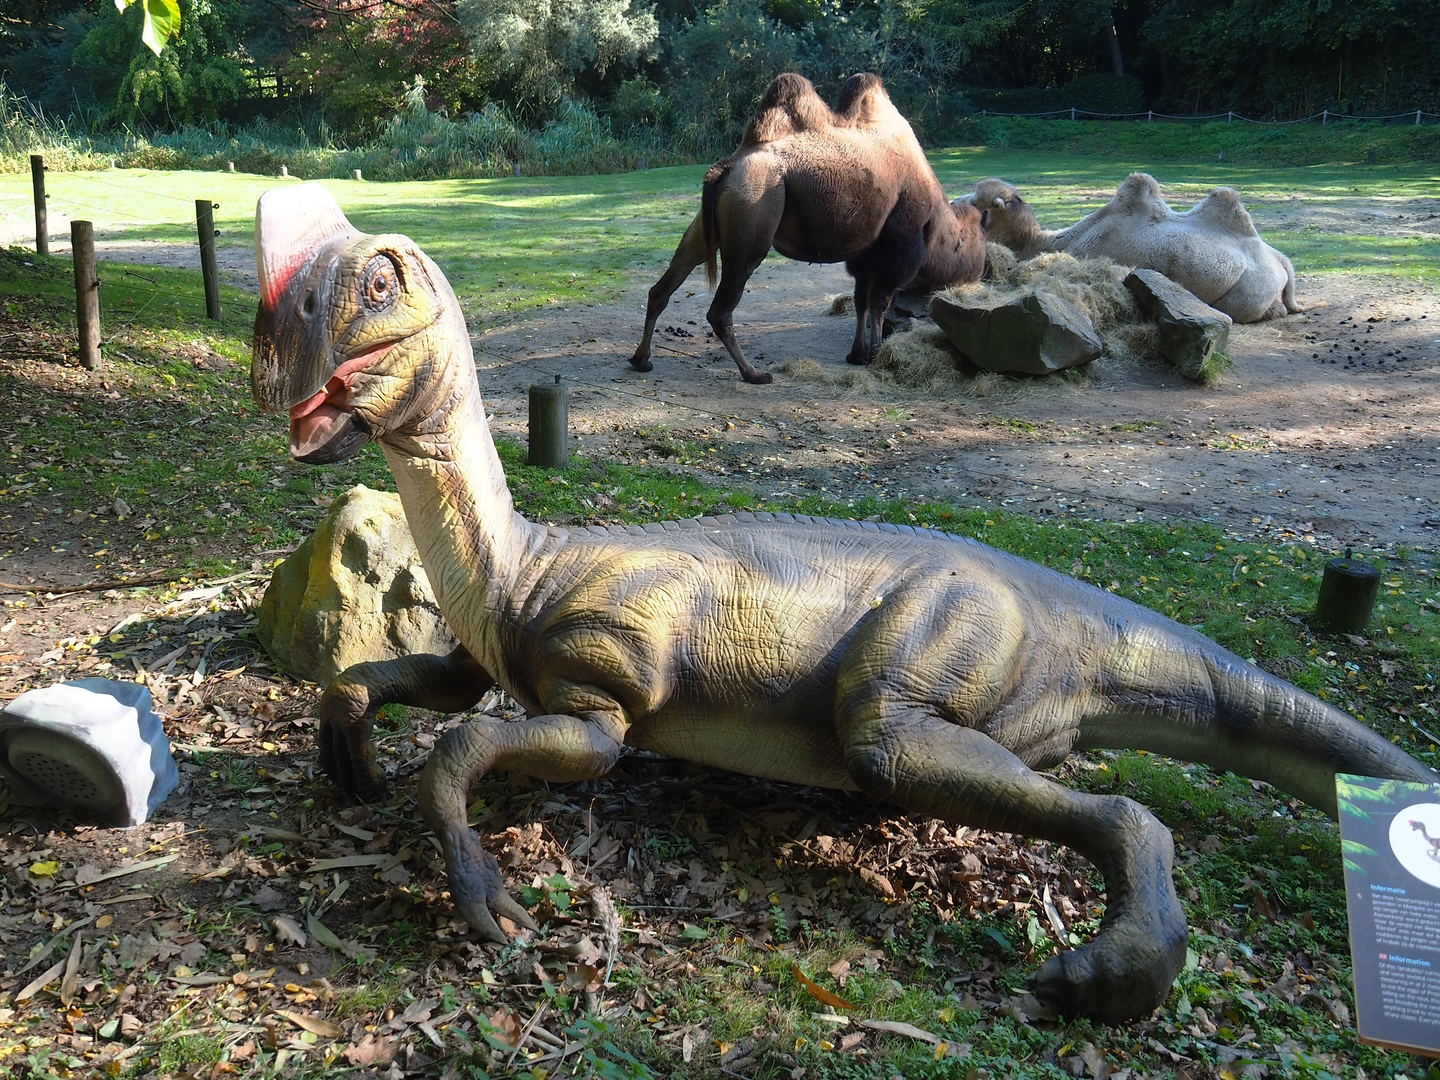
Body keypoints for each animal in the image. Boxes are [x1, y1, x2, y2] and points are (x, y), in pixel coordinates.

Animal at [629, 73, 987, 384]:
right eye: (975, 242)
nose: (978, 271)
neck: (936, 218)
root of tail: (727, 167)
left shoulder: (863, 253)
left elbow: (860, 300)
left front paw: (857, 355)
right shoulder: (897, 245)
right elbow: (879, 302)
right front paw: (875, 354)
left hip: (704, 228)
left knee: (663, 286)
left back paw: (641, 359)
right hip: (752, 216)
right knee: (720, 309)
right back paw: (754, 374)